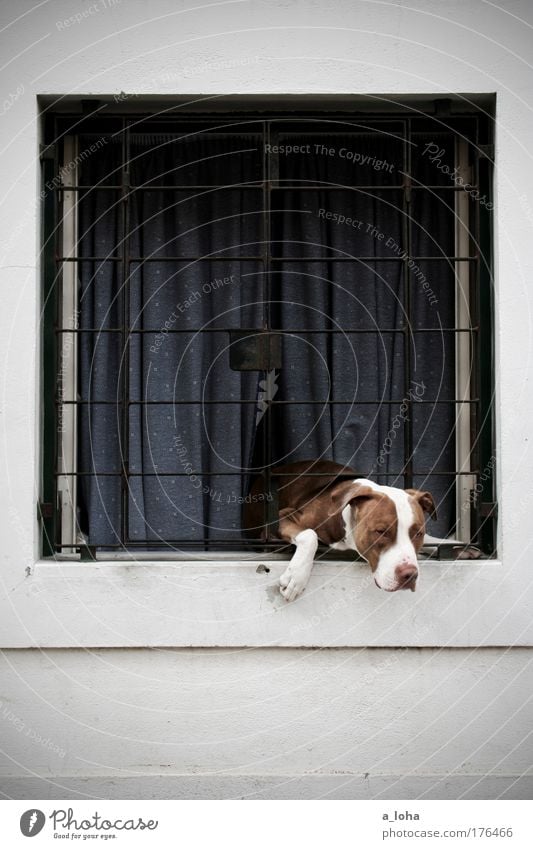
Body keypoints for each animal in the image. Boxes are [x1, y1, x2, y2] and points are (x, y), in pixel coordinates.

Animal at [245, 460, 436, 600]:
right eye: (381, 531)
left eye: (418, 533)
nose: (410, 574)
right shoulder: (280, 516)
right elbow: (310, 534)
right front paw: (296, 578)